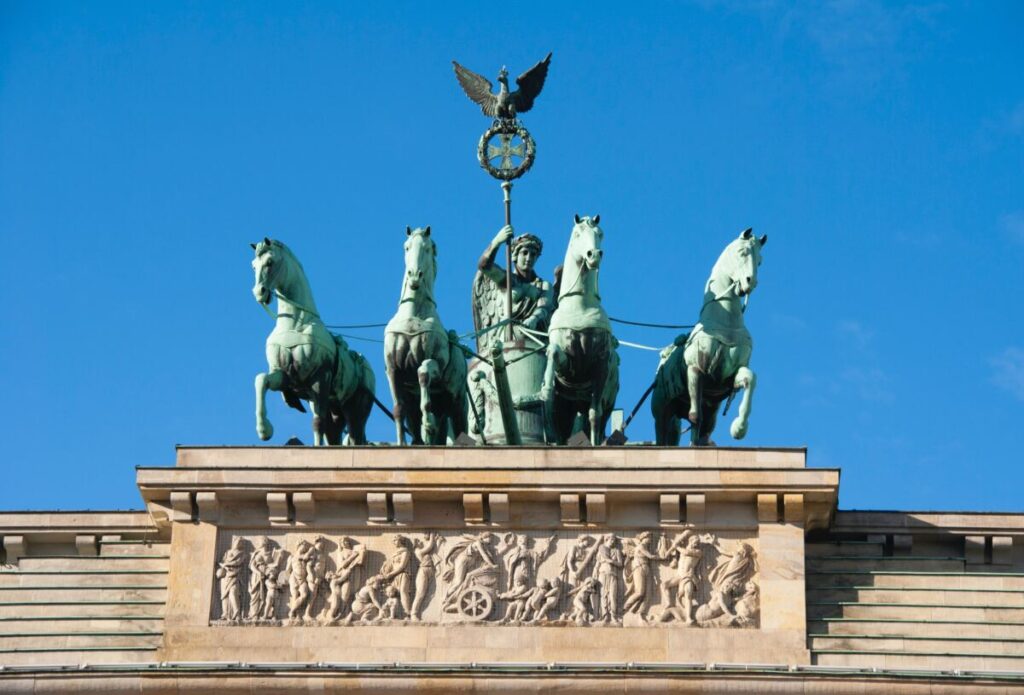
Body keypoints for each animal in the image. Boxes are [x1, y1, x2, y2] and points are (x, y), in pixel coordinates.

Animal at [250, 237, 376, 446]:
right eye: (253, 266)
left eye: (269, 262)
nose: (259, 292)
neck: (295, 323)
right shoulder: (283, 375)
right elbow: (261, 380)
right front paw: (264, 429)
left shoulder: (320, 379)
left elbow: (317, 422)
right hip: (336, 412)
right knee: (333, 434)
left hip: (355, 410)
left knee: (355, 435)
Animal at [385, 228, 468, 446]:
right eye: (406, 247)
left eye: (428, 248)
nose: (414, 276)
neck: (413, 315)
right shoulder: (393, 370)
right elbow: (398, 409)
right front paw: (402, 444)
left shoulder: (435, 362)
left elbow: (423, 373)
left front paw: (428, 422)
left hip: (458, 404)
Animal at [540, 214, 618, 446]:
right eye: (577, 233)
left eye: (600, 233)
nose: (594, 255)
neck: (580, 305)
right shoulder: (568, 364)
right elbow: (553, 356)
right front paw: (545, 391)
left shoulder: (601, 365)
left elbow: (595, 413)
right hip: (566, 407)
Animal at [651, 228, 765, 446]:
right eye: (742, 252)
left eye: (760, 260)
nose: (751, 282)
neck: (726, 324)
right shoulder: (696, 370)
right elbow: (696, 416)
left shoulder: (727, 379)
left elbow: (750, 378)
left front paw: (739, 428)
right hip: (662, 409)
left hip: (709, 409)